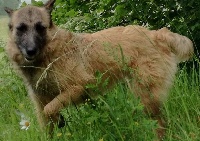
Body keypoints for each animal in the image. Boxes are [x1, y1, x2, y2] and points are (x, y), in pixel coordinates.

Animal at [4, 0, 192, 139]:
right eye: (21, 29)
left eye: (40, 27)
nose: (30, 51)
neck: (49, 54)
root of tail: (157, 34)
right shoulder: (40, 101)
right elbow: (46, 120)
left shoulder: (79, 87)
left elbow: (50, 108)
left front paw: (60, 120)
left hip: (145, 96)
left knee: (159, 123)